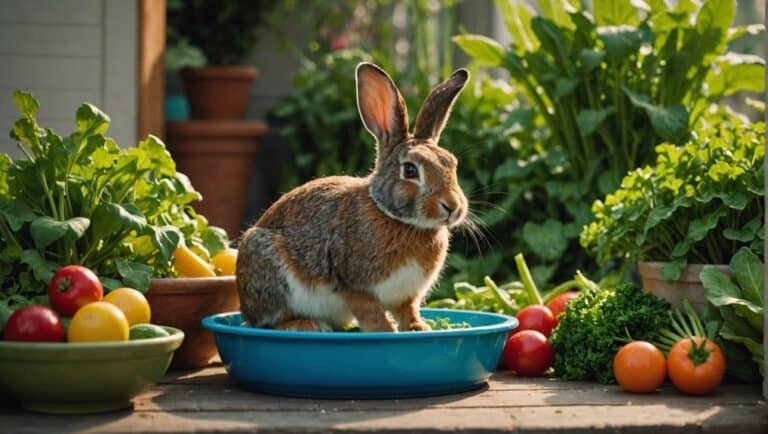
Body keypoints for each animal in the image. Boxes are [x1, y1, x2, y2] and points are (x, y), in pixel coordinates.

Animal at [236, 62, 470, 332]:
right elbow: (373, 315)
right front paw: (386, 331)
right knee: (268, 322)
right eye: (410, 170)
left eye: (452, 164)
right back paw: (307, 325)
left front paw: (419, 329)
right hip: (270, 272)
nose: (452, 206)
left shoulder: (406, 296)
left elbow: (408, 312)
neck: (400, 221)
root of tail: (245, 304)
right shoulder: (355, 288)